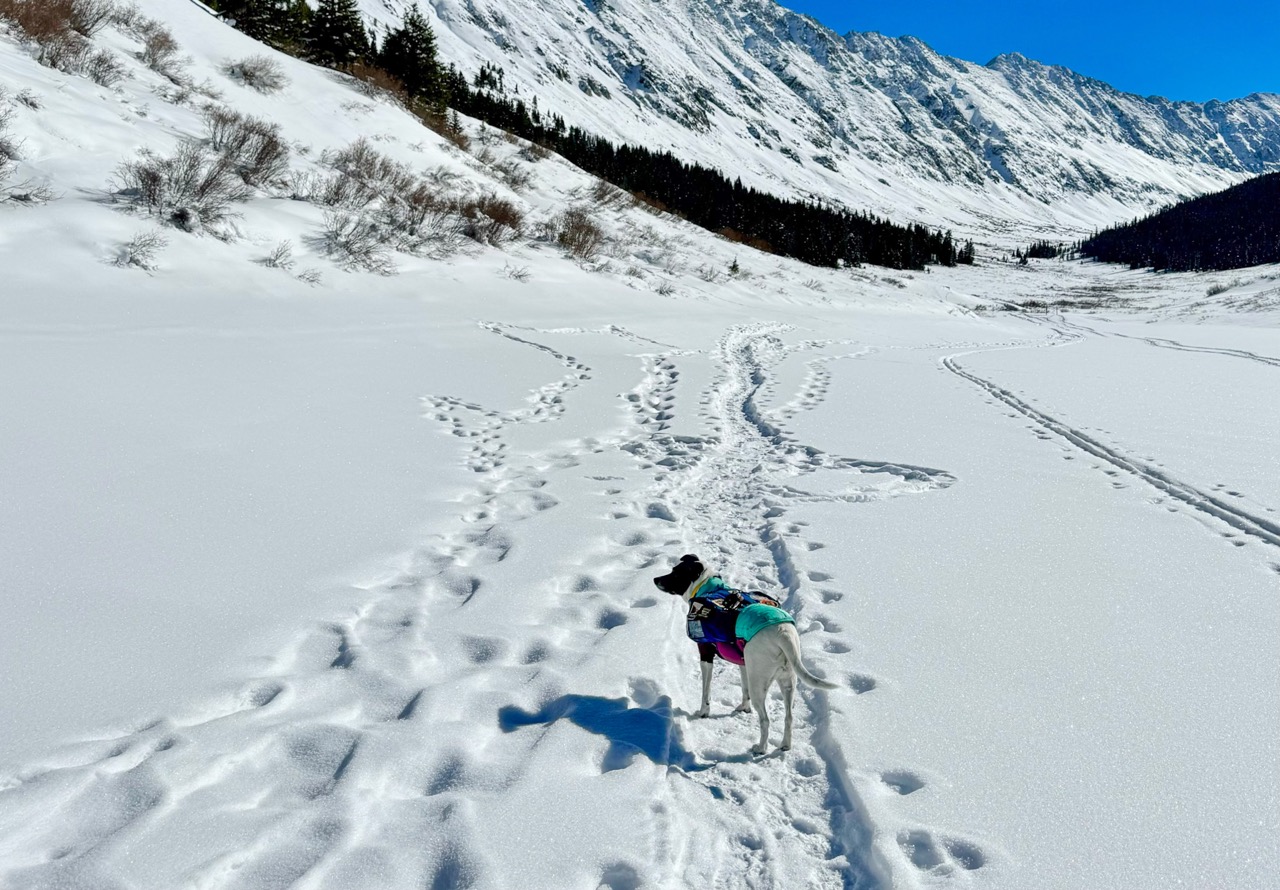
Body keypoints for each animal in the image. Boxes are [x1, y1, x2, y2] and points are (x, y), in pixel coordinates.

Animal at [655, 553, 834, 752]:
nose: (655, 579)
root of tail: (783, 633)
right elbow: (744, 688)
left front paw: (703, 712)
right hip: (787, 682)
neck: (708, 589)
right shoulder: (744, 664)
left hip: (760, 683)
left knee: (765, 720)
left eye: (676, 573)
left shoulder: (706, 655)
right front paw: (743, 707)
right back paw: (785, 745)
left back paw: (760, 748)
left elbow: (706, 691)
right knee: (789, 717)